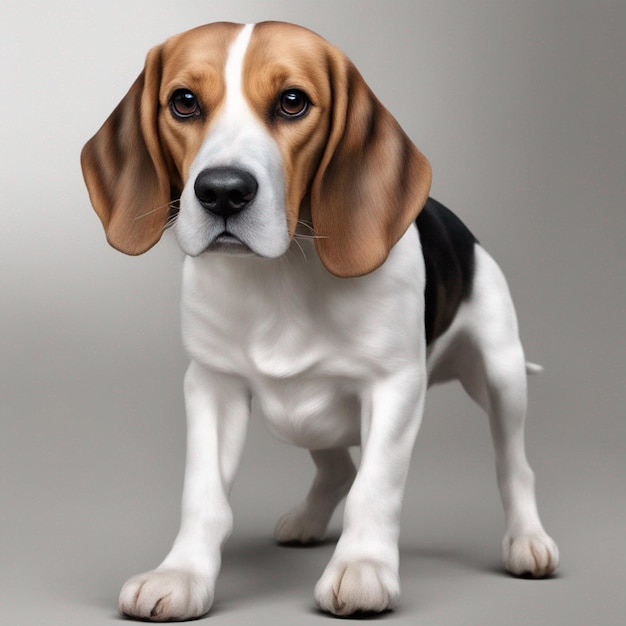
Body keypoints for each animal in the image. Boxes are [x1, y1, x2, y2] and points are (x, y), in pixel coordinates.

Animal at [79, 19, 556, 620]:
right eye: (184, 102)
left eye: (292, 102)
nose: (223, 192)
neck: (282, 277)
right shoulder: (211, 386)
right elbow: (204, 495)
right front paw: (181, 573)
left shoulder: (395, 387)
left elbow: (376, 487)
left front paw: (363, 568)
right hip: (306, 416)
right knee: (338, 469)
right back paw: (307, 521)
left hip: (500, 373)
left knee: (513, 465)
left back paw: (528, 540)